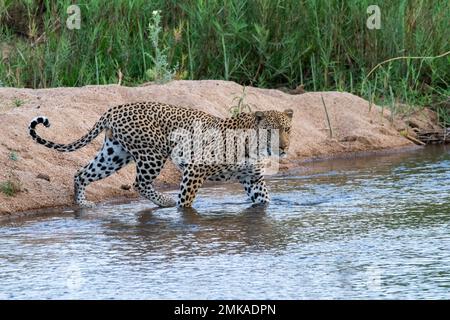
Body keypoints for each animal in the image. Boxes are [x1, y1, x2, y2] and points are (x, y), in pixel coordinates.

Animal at [29, 101, 296, 209]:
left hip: (114, 154)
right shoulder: (195, 169)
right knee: (139, 183)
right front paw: (182, 212)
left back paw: (82, 204)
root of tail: (114, 109)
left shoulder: (253, 179)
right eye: (271, 131)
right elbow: (186, 201)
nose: (284, 147)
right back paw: (166, 202)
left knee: (82, 173)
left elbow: (265, 200)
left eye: (287, 129)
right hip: (152, 154)